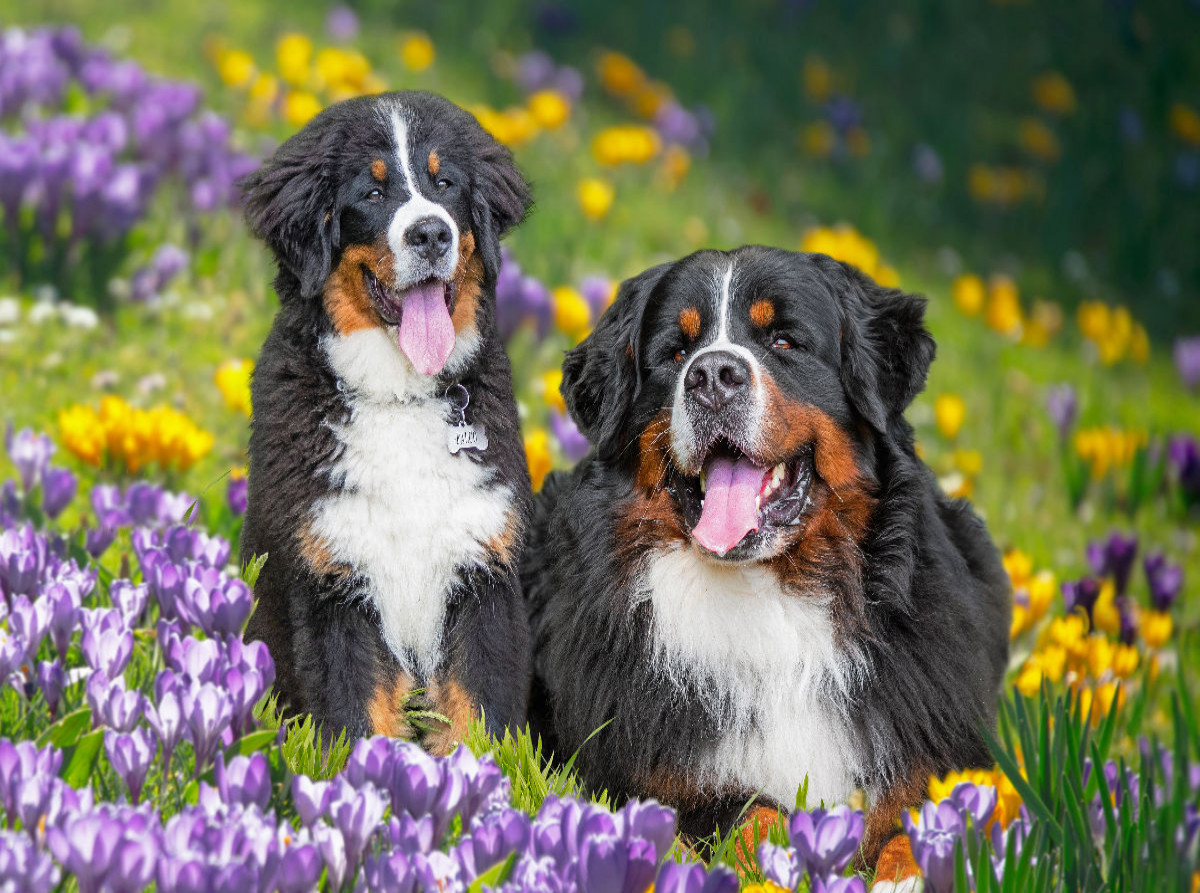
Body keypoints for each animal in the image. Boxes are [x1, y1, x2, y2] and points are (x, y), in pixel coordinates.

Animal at [238, 90, 530, 748]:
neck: (400, 398)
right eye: (372, 193)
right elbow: (359, 719)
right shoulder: (333, 577)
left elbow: (476, 717)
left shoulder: (481, 569)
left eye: (444, 183)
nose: (430, 232)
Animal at [525, 243, 1012, 864]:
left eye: (783, 341)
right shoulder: (650, 778)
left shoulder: (930, 755)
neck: (771, 591)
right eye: (676, 352)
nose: (711, 375)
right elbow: (754, 812)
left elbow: (919, 826)